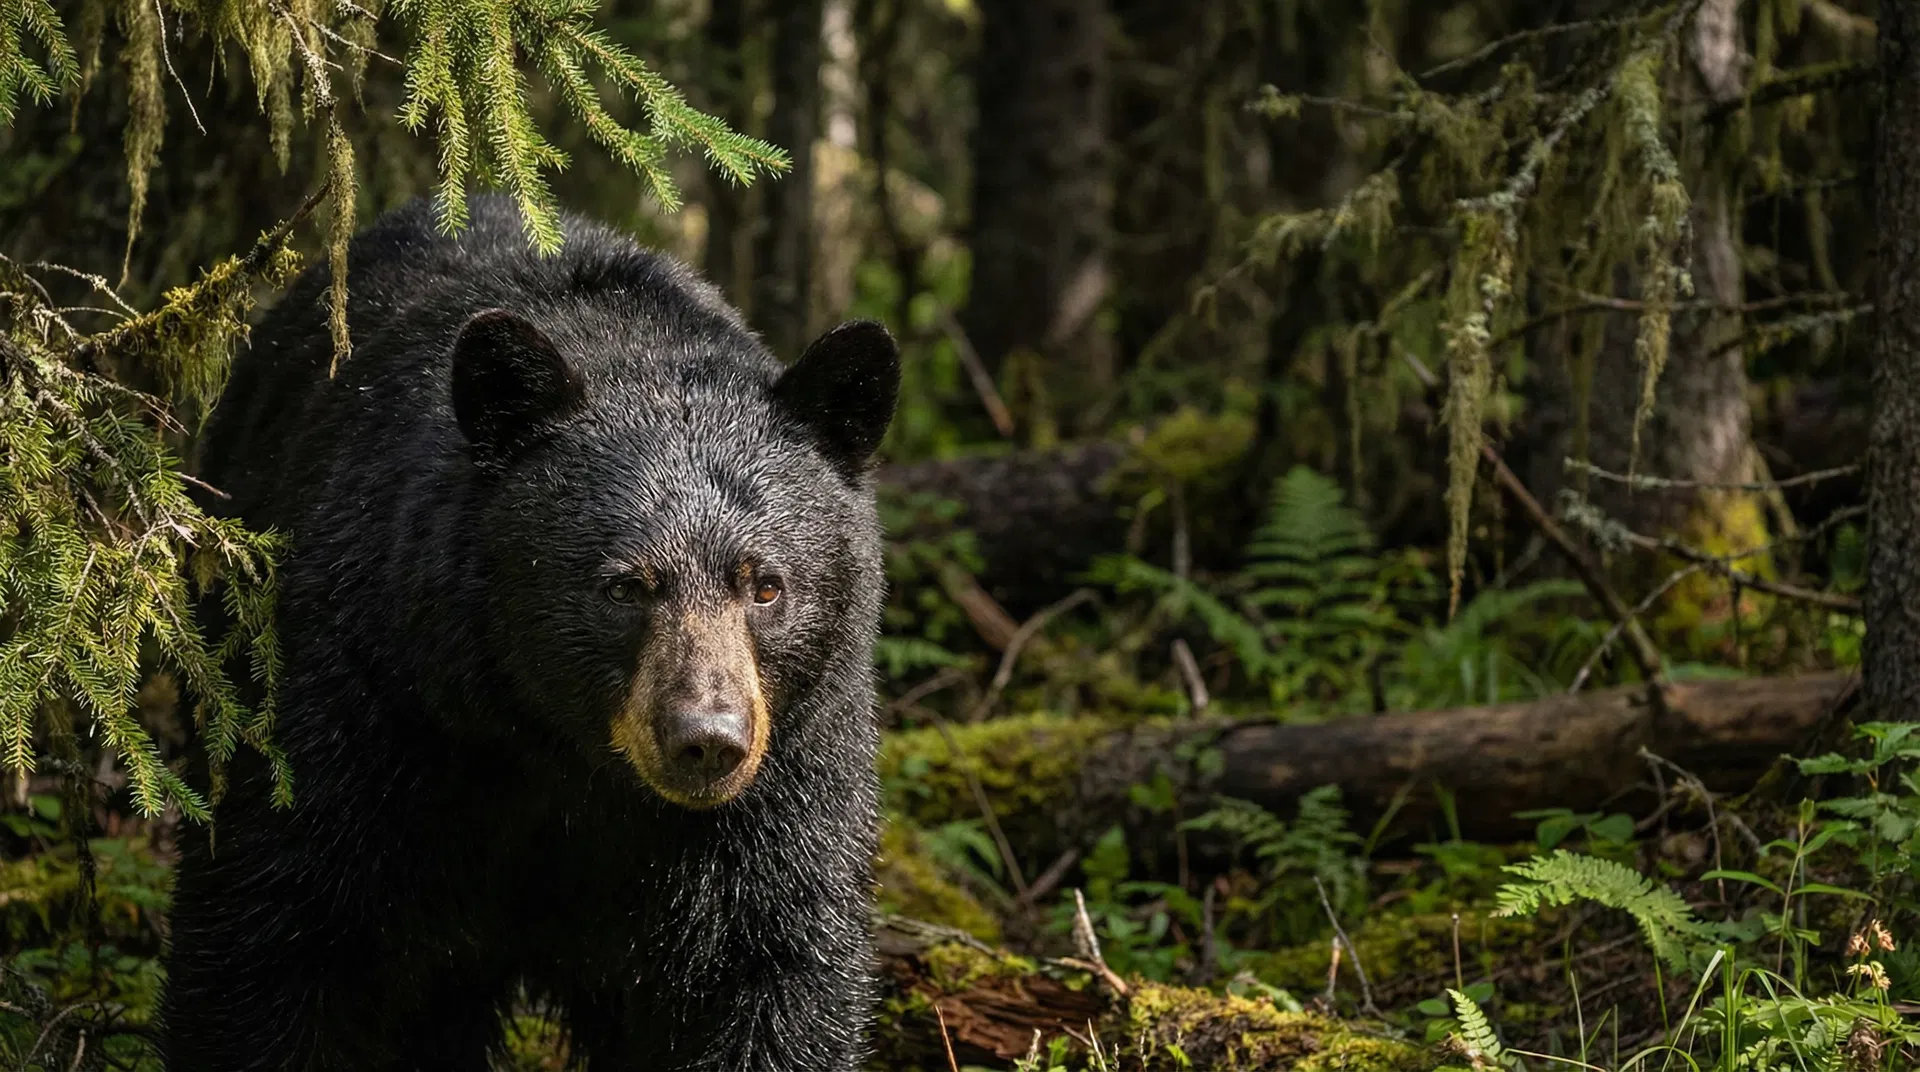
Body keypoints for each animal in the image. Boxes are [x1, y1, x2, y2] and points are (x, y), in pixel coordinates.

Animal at [159, 194, 899, 1071]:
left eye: (766, 585)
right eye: (624, 585)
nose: (706, 739)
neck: (565, 760)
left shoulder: (787, 775)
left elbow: (770, 965)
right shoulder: (370, 703)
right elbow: (273, 933)